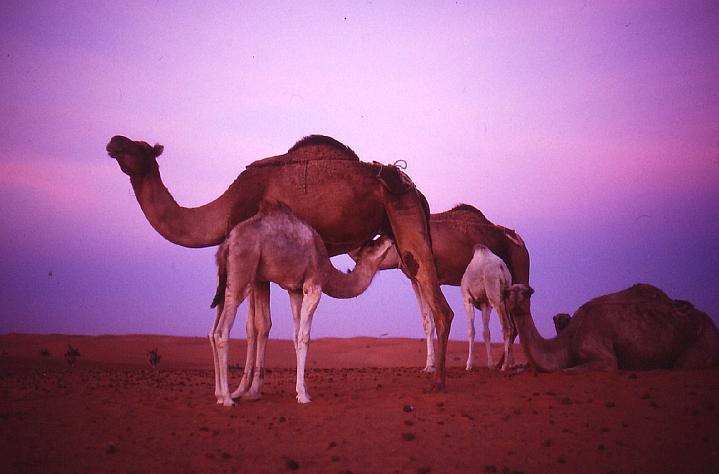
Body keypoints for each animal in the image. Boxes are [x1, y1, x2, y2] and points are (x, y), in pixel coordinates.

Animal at [208, 202, 394, 406]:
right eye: (373, 243)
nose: (389, 236)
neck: (326, 268)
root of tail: (227, 244)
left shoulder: (295, 290)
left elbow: (296, 336)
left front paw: (303, 390)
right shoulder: (313, 285)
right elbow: (305, 337)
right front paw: (303, 396)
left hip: (225, 281)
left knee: (213, 330)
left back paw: (219, 395)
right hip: (241, 274)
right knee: (222, 332)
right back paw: (227, 399)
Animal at [352, 203, 528, 370]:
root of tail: (519, 241)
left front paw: (431, 366)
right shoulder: (415, 281)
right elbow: (426, 322)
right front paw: (429, 365)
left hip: (518, 269)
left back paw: (506, 364)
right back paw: (505, 363)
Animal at [506, 284, 719, 372]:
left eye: (528, 292)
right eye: (508, 291)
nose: (514, 296)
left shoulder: (605, 358)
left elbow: (566, 370)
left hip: (705, 338)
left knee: (683, 364)